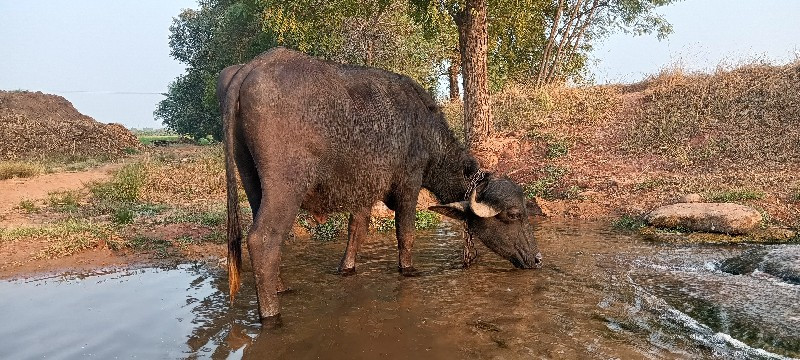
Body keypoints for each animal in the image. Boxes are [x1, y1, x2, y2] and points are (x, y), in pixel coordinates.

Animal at [219, 46, 544, 324]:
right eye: (514, 215)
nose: (537, 258)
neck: (424, 130)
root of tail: (252, 66)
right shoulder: (409, 183)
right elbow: (406, 234)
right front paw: (408, 270)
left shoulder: (364, 190)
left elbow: (357, 231)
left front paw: (347, 268)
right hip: (286, 186)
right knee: (263, 239)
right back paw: (271, 313)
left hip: (252, 182)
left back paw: (281, 288)